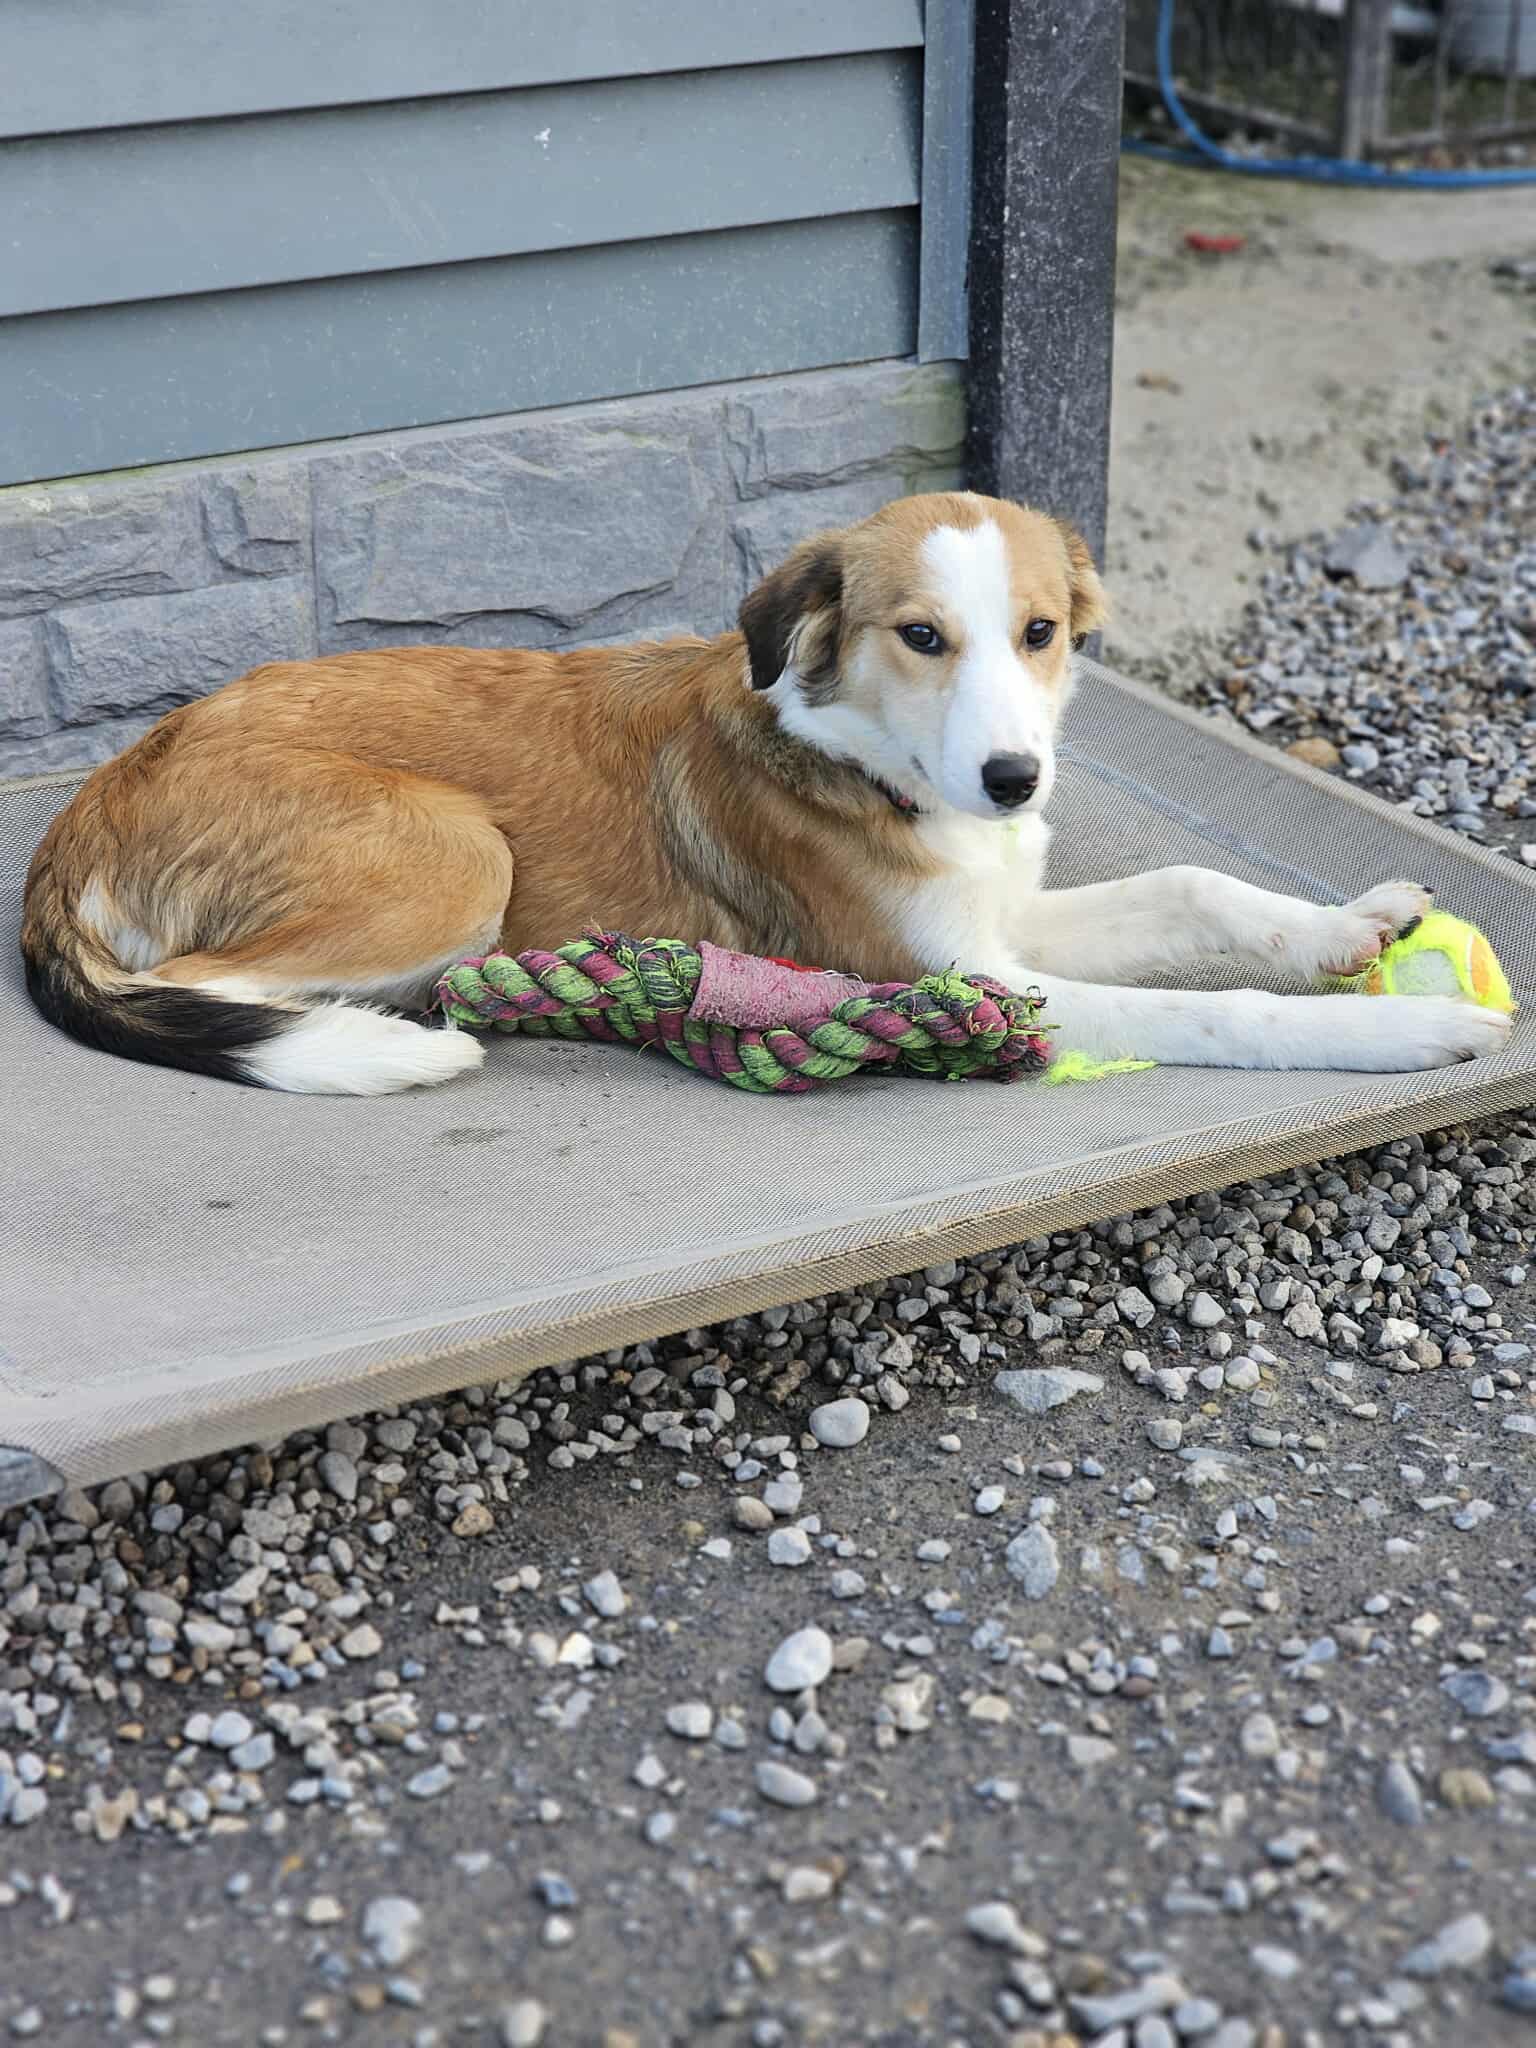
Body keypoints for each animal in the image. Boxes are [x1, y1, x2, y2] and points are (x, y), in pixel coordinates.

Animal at [21, 489, 1511, 1094]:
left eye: (1040, 632)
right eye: (921, 635)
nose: (1013, 778)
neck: (877, 766)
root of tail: (88, 804)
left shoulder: (999, 916)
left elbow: (1194, 885)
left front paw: (1355, 927)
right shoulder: (967, 976)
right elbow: (1213, 1013)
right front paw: (1402, 1031)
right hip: (453, 855)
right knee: (205, 988)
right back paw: (388, 1031)